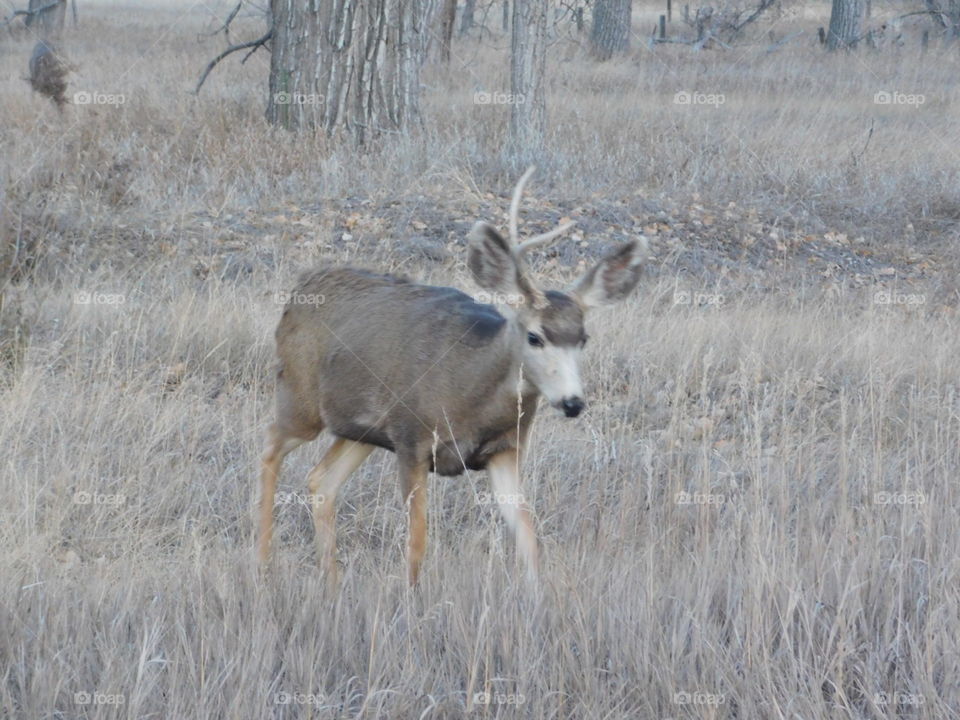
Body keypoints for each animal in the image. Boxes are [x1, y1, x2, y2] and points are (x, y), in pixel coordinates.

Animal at [256, 169, 644, 584]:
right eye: (534, 336)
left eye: (583, 338)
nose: (572, 402)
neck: (474, 397)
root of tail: (301, 288)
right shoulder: (412, 439)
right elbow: (418, 542)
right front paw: (411, 594)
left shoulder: (505, 450)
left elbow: (528, 535)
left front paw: (537, 593)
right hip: (299, 396)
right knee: (270, 446)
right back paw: (262, 558)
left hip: (360, 428)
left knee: (321, 479)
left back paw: (330, 578)